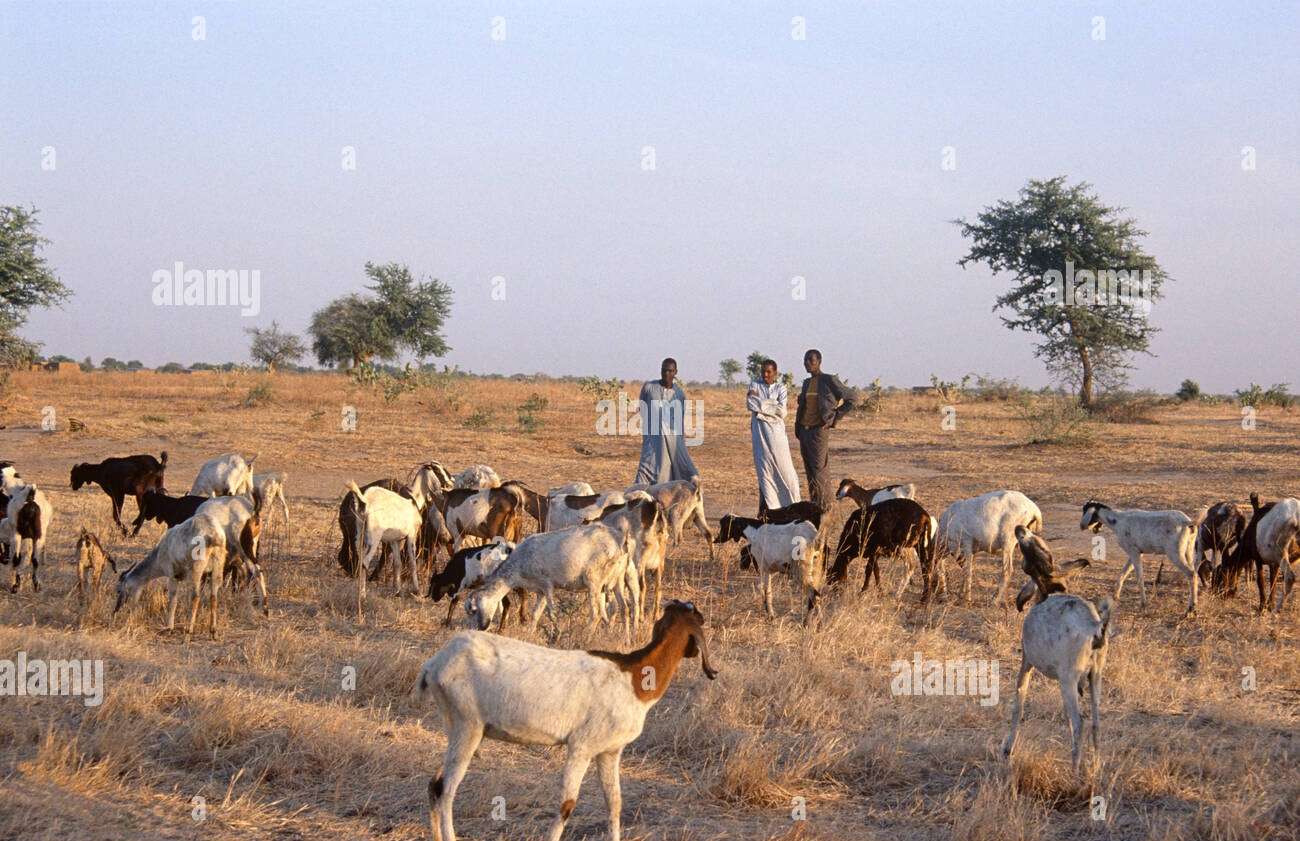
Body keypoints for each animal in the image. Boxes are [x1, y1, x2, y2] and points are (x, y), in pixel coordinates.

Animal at [114, 509, 226, 642]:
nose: (117, 608)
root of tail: (213, 535)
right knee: (213, 596)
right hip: (218, 566)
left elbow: (172, 599)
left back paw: (188, 633)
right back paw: (213, 632)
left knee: (195, 596)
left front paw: (169, 628)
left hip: (197, 568)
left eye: (118, 590)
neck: (158, 554)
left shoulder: (172, 574)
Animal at [345, 480, 421, 618]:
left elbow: (397, 564)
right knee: (365, 562)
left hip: (360, 535)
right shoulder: (411, 535)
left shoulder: (395, 540)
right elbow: (412, 563)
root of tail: (366, 502)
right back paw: (362, 595)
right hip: (374, 538)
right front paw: (417, 591)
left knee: (360, 559)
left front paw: (397, 591)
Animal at [416, 597, 717, 841]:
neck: (634, 678)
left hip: (459, 727)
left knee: (434, 785)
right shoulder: (581, 746)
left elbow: (614, 803)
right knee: (446, 790)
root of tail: (435, 664)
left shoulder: (609, 751)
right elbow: (567, 805)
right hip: (467, 725)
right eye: (700, 619)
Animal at [1003, 595, 1118, 774]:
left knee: (1080, 722)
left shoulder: (1027, 661)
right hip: (1094, 677)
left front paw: (1009, 749)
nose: (1020, 603)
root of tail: (1095, 627)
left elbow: (1018, 704)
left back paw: (1074, 771)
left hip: (1069, 679)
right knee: (1096, 722)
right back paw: (1095, 765)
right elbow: (1066, 716)